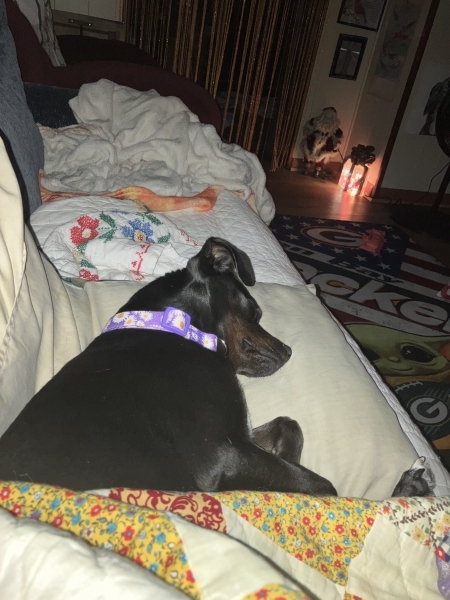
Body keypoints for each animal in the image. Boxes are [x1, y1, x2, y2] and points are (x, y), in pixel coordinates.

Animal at [0, 237, 337, 495]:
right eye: (255, 311)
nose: (288, 350)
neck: (172, 325)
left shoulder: (240, 435)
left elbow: (288, 425)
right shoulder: (222, 454)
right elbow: (320, 486)